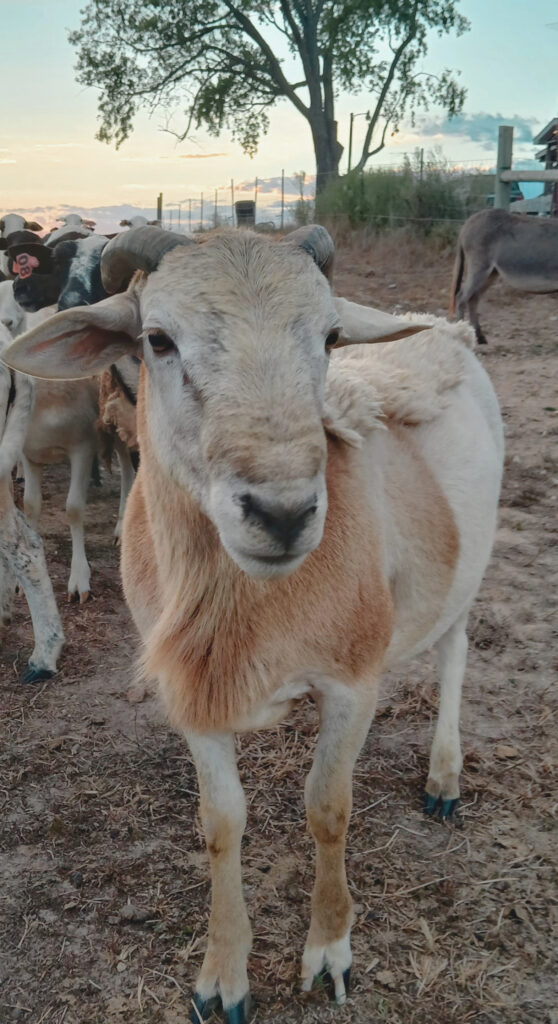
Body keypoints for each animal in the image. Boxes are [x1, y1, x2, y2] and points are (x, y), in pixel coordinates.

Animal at [4, 225, 504, 1021]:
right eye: (157, 340)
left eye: (330, 336)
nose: (284, 513)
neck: (246, 605)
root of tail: (437, 325)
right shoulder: (194, 694)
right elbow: (221, 824)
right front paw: (222, 978)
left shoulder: (351, 683)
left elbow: (329, 809)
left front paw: (329, 952)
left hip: (466, 566)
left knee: (454, 654)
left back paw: (444, 778)